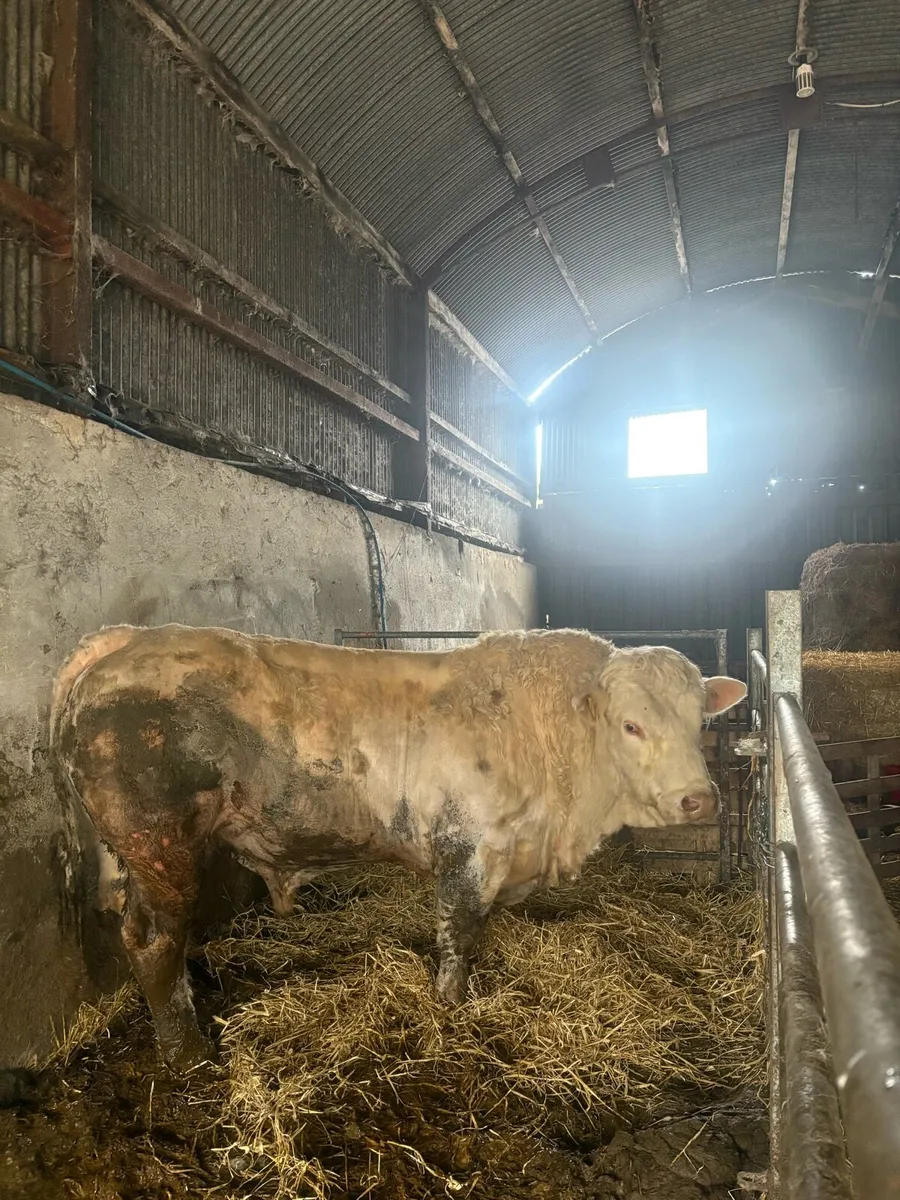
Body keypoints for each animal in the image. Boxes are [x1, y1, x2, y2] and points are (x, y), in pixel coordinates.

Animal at [50, 624, 746, 1070]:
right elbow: (458, 936)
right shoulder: (470, 851)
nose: (699, 799)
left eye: (701, 723)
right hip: (159, 843)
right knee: (151, 938)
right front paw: (451, 1011)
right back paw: (187, 1052)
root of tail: (130, 640)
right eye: (632, 725)